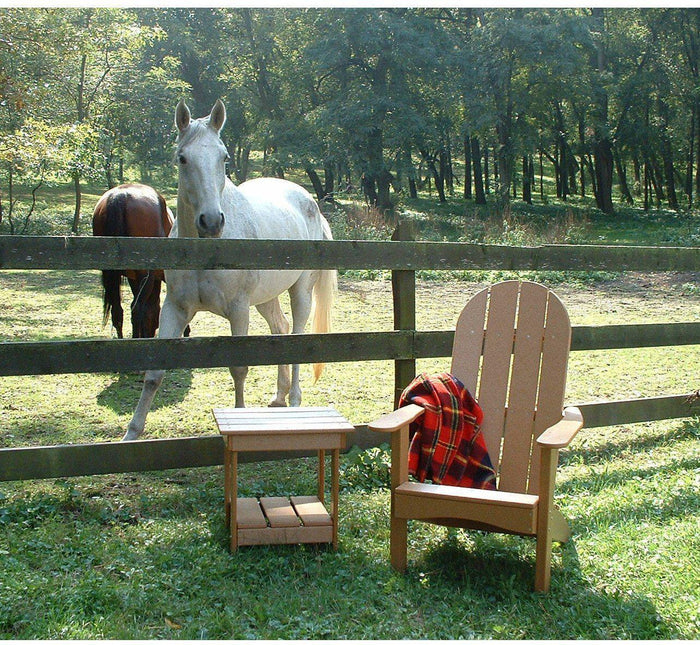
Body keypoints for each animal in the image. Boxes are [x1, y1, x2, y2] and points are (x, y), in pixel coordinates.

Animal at [91, 184, 174, 340]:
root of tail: (120, 194)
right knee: (136, 309)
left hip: (113, 275)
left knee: (118, 312)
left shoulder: (133, 278)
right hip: (146, 276)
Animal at [122, 100, 336, 440]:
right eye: (182, 158)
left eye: (223, 157)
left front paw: (239, 418)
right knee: (280, 328)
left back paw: (294, 400)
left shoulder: (238, 310)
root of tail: (310, 202)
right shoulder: (175, 309)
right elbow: (155, 372)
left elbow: (238, 369)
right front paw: (131, 433)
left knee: (296, 336)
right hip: (266, 299)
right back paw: (279, 397)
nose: (211, 221)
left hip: (300, 292)